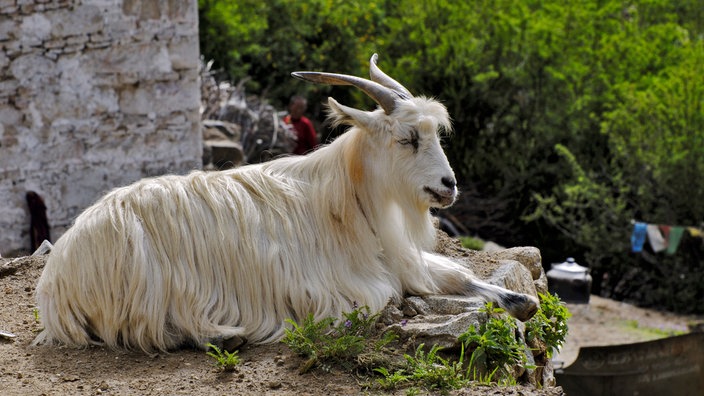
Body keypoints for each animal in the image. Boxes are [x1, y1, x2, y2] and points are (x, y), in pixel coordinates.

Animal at [34, 53, 540, 352]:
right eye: (407, 139)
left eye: (436, 134)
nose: (448, 186)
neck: (345, 200)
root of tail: (57, 278)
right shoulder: (351, 287)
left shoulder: (399, 260)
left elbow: (461, 277)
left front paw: (521, 301)